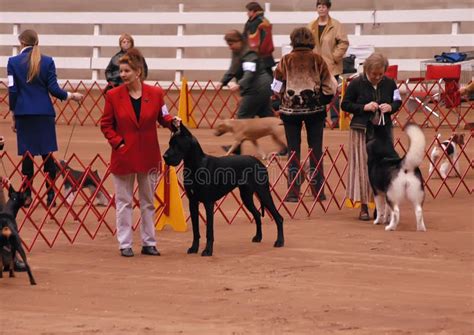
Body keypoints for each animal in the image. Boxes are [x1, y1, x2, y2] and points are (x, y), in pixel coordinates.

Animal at [163, 125, 284, 258]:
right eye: (170, 143)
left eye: (176, 144)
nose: (164, 157)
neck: (195, 165)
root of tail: (259, 162)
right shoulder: (193, 202)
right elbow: (195, 230)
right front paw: (194, 248)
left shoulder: (208, 203)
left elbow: (209, 230)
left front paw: (207, 251)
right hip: (246, 196)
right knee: (257, 214)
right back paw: (258, 237)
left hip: (263, 193)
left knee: (278, 217)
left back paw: (279, 241)